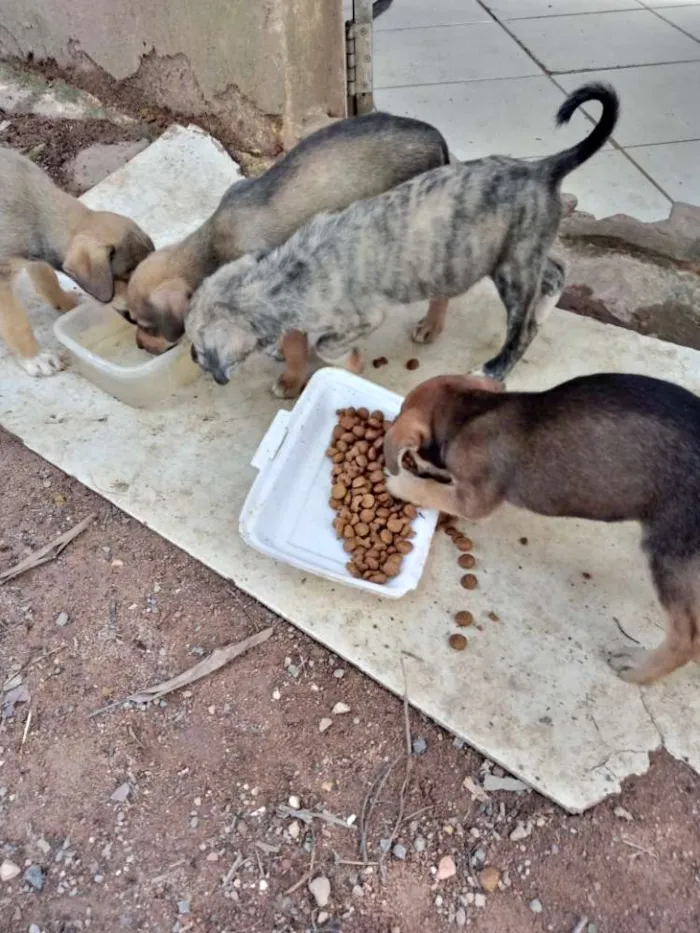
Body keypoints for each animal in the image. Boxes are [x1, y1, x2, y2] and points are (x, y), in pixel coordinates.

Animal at [0, 149, 154, 374]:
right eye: (128, 280)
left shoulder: (38, 257)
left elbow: (47, 279)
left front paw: (64, 302)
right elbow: (16, 323)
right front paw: (35, 358)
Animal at [186, 83, 616, 394]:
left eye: (198, 343)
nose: (191, 356)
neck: (284, 277)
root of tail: (541, 169)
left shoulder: (362, 317)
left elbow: (325, 345)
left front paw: (350, 363)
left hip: (512, 267)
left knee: (521, 327)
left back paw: (493, 369)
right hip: (518, 251)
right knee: (557, 271)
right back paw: (541, 310)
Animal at [382, 372, 700, 684]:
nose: (410, 465)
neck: (470, 410)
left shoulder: (474, 500)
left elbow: (429, 490)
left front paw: (399, 483)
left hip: (668, 554)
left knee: (686, 639)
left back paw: (637, 669)